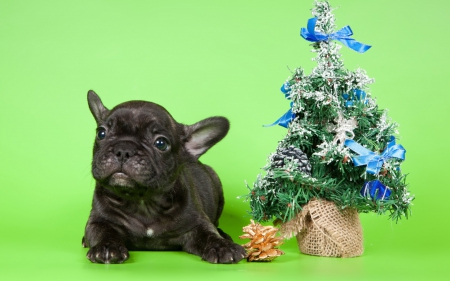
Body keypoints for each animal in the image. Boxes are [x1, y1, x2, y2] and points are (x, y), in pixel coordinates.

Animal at [81, 90, 246, 262]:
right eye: (101, 133)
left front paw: (222, 246)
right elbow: (102, 232)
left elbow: (208, 234)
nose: (123, 149)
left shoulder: (198, 223)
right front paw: (107, 246)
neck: (143, 201)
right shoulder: (98, 221)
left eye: (161, 143)